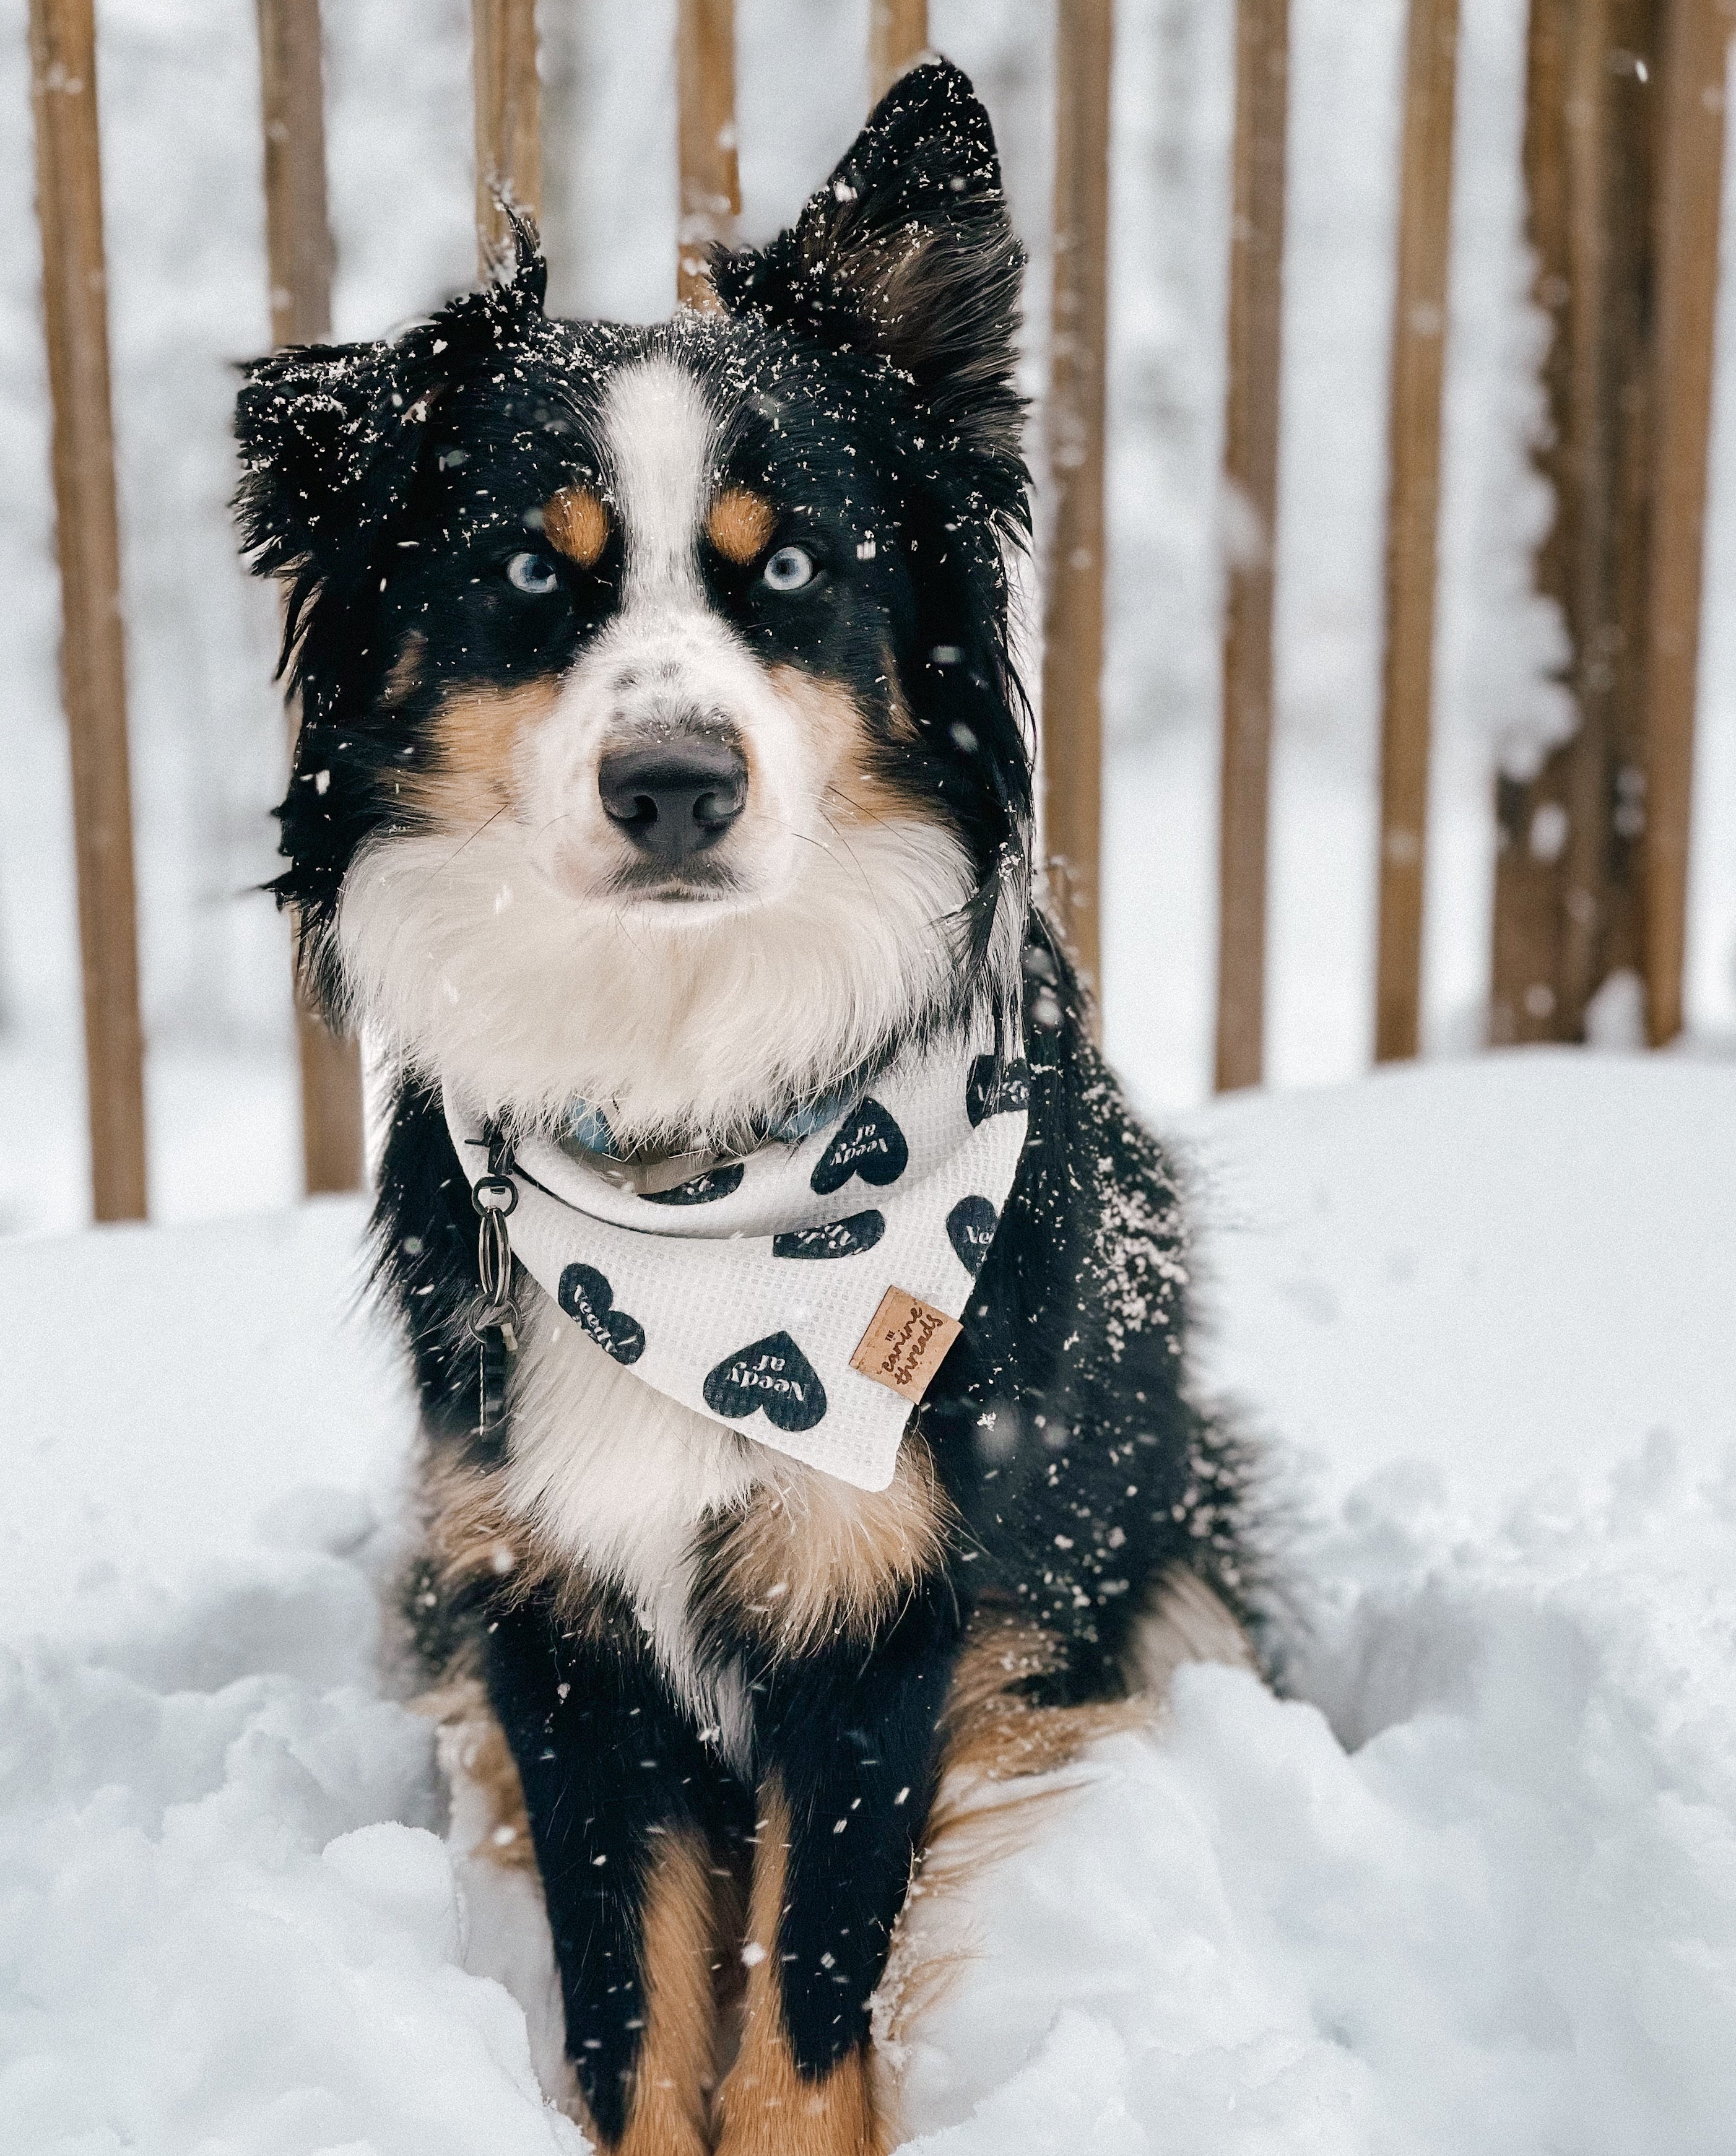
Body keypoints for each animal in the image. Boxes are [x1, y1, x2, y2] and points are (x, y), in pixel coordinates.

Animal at [237, 59, 1251, 2147]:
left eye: (782, 567)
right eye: (527, 575)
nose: (675, 783)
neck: (697, 1141)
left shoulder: (885, 1609)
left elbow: (802, 1997)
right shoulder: (550, 1612)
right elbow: (635, 1994)